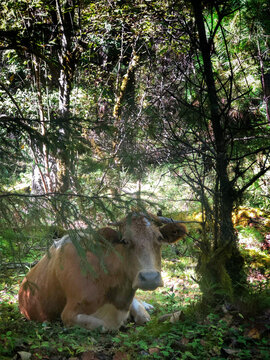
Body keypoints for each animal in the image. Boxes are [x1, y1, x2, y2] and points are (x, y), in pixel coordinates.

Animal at [19, 211, 187, 332]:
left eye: (159, 238)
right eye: (124, 241)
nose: (150, 277)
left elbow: (144, 318)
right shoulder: (68, 315)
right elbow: (104, 326)